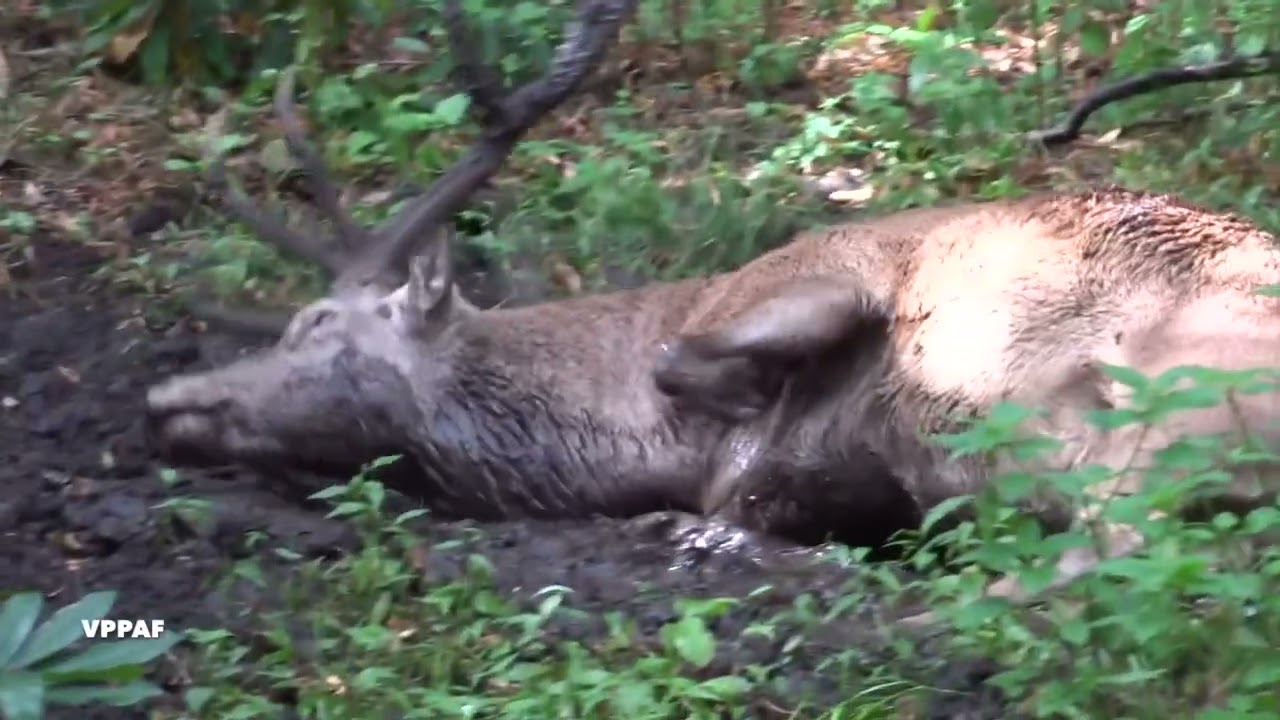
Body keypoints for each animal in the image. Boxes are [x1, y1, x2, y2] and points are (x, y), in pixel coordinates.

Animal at [144, 0, 1280, 626]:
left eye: (315, 326)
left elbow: (692, 367)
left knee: (1129, 559)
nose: (167, 399)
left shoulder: (825, 269)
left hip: (1167, 403)